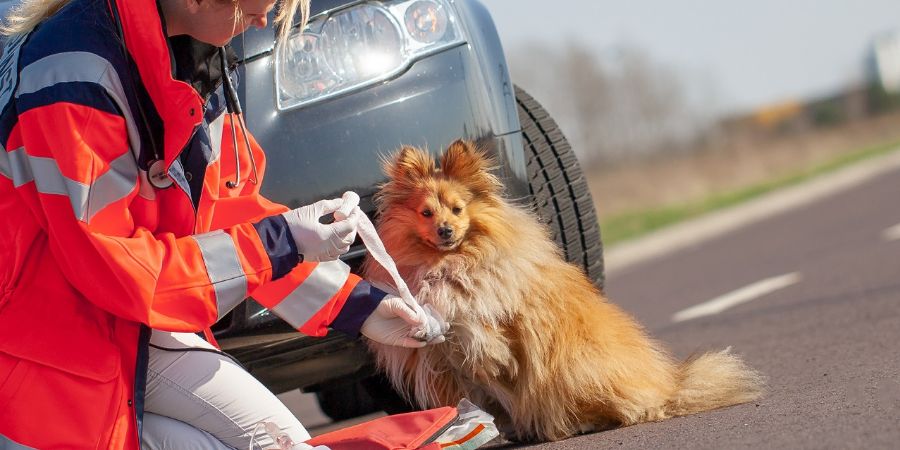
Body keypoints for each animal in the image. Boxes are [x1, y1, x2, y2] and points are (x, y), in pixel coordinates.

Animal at [362, 142, 764, 442]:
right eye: (426, 213)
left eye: (458, 209)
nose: (445, 230)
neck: (447, 262)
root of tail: (669, 386)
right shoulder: (444, 363)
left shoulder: (492, 328)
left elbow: (491, 349)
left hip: (576, 367)